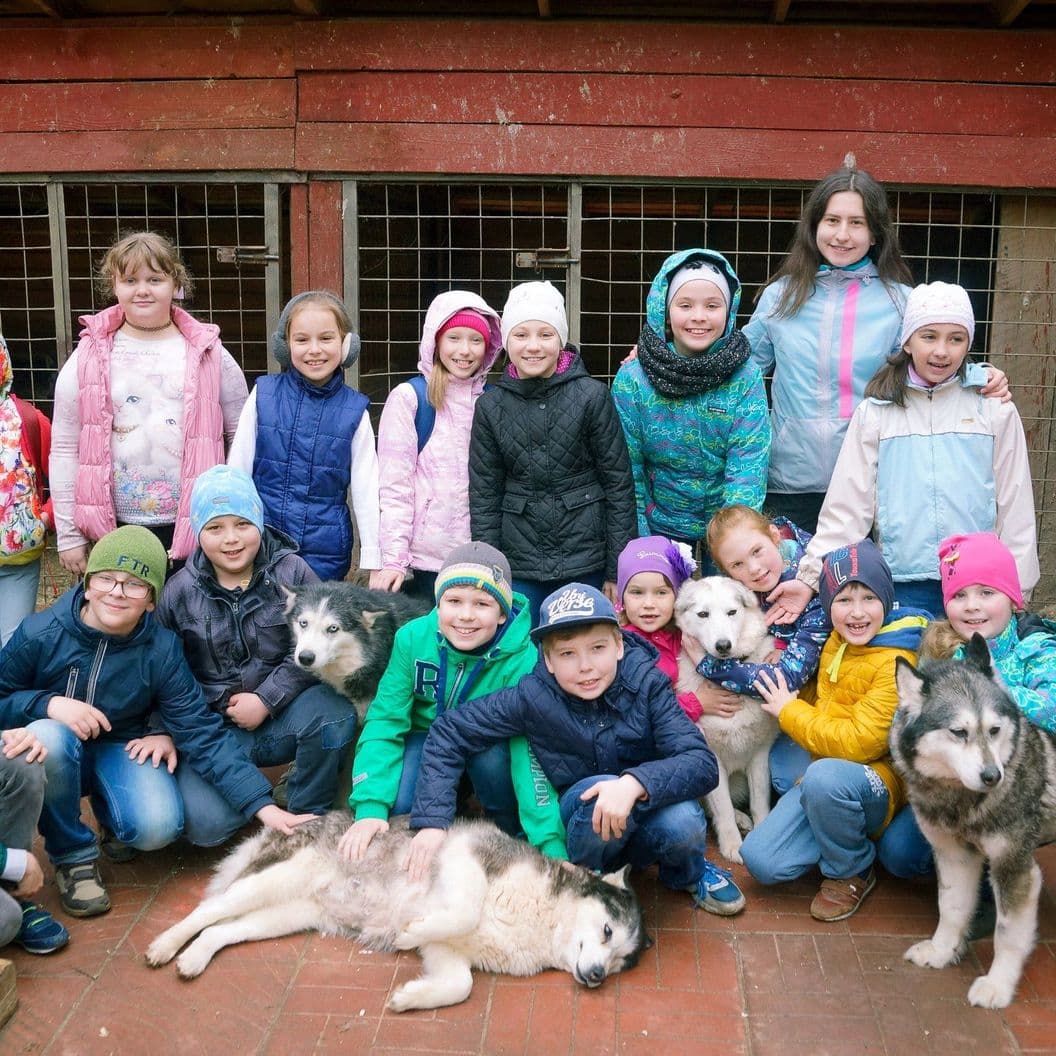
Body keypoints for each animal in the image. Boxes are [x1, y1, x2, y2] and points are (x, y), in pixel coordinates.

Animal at [675, 578, 777, 865]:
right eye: (703, 614)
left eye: (732, 612)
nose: (723, 646)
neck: (729, 677)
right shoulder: (712, 761)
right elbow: (722, 809)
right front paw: (732, 845)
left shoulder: (759, 754)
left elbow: (759, 802)